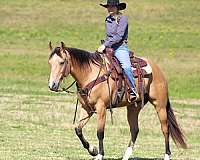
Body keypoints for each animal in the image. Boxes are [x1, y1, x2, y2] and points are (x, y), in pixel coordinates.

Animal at [47, 42, 187, 160]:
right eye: (50, 63)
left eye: (62, 62)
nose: (52, 85)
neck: (90, 74)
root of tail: (158, 70)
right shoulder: (86, 108)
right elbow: (78, 129)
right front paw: (93, 150)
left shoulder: (101, 108)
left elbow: (100, 132)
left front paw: (100, 155)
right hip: (133, 107)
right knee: (135, 129)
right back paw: (126, 156)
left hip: (160, 105)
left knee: (165, 129)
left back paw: (167, 155)